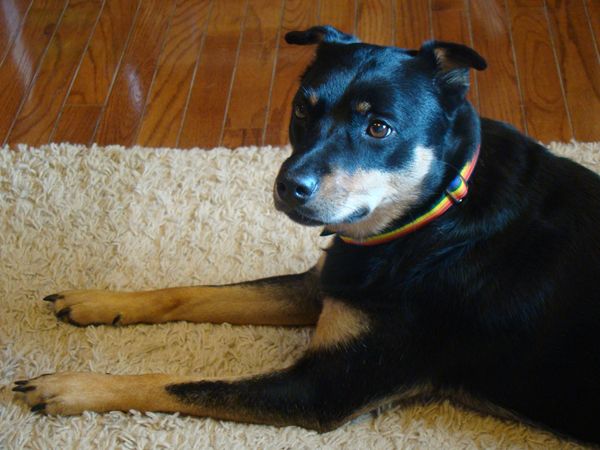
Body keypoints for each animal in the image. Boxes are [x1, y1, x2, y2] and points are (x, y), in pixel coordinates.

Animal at [11, 26, 600, 444]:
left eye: (378, 127)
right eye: (301, 108)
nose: (287, 186)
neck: (432, 214)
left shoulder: (321, 388)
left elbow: (179, 384)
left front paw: (71, 384)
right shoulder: (326, 283)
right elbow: (192, 292)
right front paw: (97, 301)